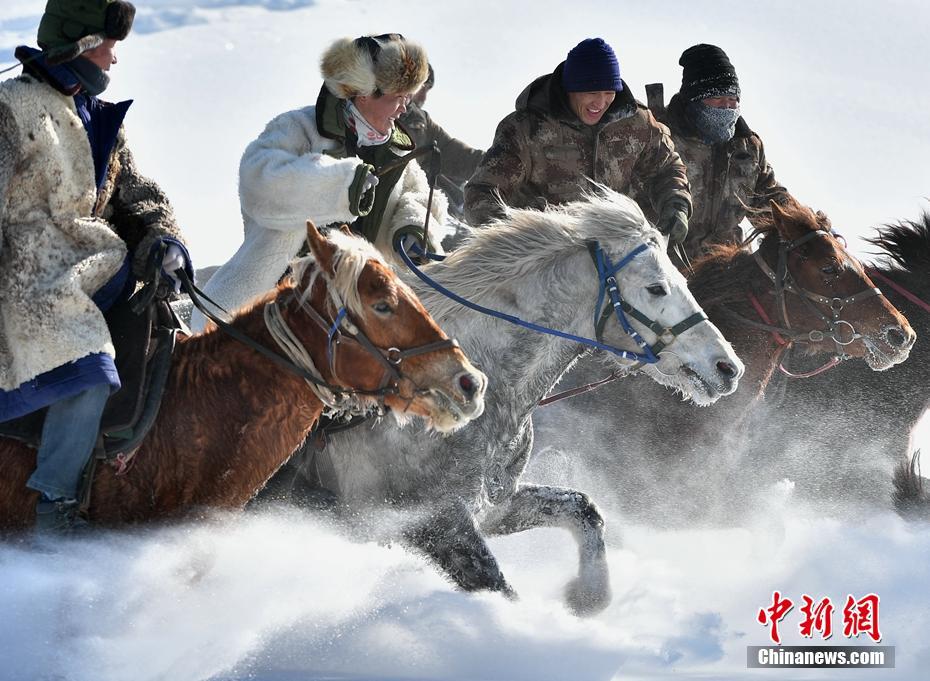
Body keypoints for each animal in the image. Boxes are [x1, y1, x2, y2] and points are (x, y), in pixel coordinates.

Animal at [258, 189, 744, 612]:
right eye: (657, 288)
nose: (728, 368)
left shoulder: (496, 506)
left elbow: (583, 509)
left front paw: (588, 598)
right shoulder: (435, 526)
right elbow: (498, 586)